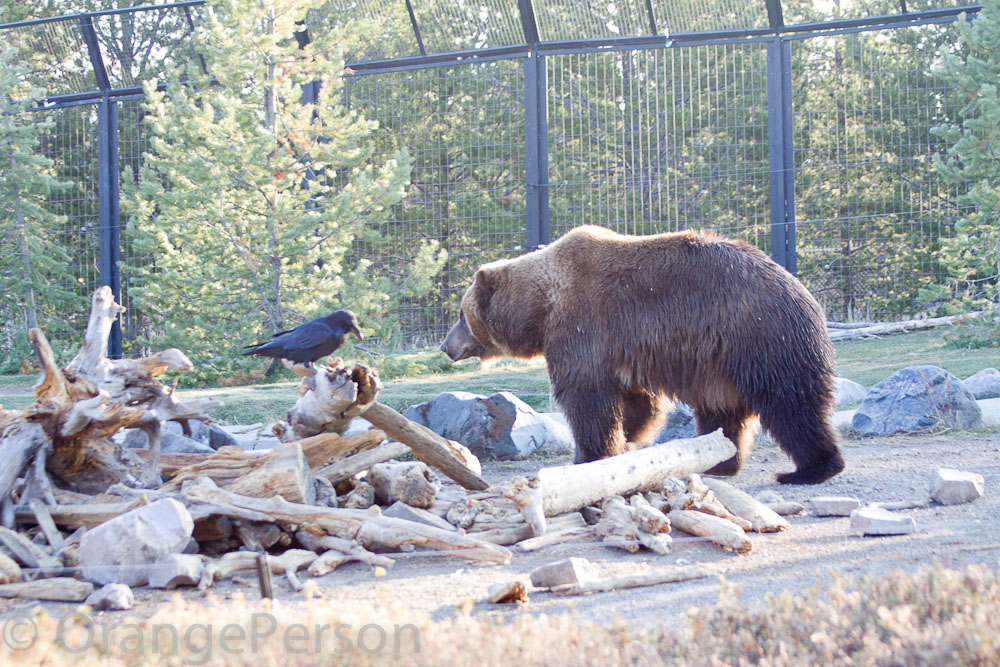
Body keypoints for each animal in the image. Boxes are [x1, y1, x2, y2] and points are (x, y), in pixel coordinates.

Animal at [440, 225, 844, 485]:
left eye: (460, 314)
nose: (445, 345)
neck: (541, 307)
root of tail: (804, 294)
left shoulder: (583, 325)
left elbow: (586, 397)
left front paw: (588, 454)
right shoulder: (624, 349)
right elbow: (637, 402)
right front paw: (629, 439)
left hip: (760, 340)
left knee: (792, 407)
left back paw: (809, 470)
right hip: (721, 362)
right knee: (724, 412)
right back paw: (719, 462)